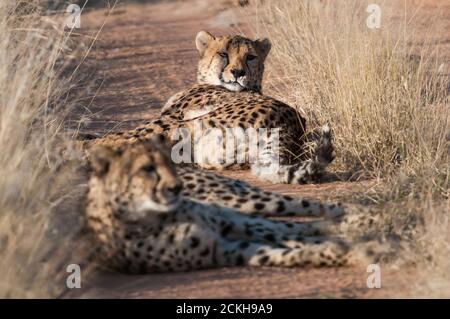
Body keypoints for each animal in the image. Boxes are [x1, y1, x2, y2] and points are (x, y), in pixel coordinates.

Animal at [85, 136, 390, 274]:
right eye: (147, 168)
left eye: (167, 163)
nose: (176, 187)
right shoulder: (223, 249)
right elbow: (292, 252)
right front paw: (357, 251)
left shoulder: (226, 227)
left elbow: (297, 235)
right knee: (302, 226)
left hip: (241, 204)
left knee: (306, 210)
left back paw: (369, 217)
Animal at [86, 30, 334, 185]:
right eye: (223, 54)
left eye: (251, 57)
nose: (237, 72)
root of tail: (291, 131)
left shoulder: (170, 117)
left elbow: (123, 133)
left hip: (192, 123)